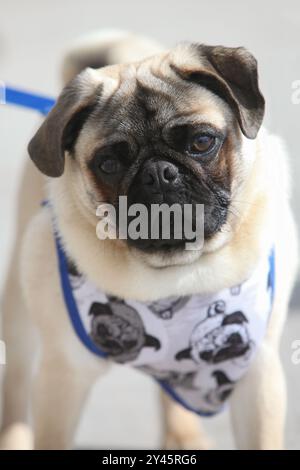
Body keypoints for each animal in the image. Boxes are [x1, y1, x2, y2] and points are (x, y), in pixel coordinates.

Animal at [0, 31, 298, 450]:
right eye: (109, 164)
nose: (159, 173)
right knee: (14, 382)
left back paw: (183, 435)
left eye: (202, 142)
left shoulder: (259, 376)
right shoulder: (62, 376)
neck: (176, 273)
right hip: (20, 314)